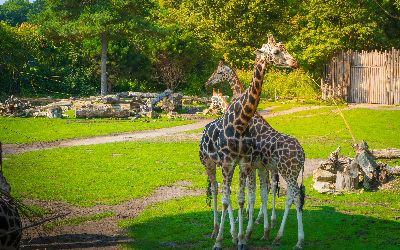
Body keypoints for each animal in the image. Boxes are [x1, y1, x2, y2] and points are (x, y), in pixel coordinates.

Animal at [200, 34, 300, 249]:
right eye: (277, 51)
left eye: (283, 49)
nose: (294, 62)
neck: (240, 122)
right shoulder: (234, 163)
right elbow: (234, 197)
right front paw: (230, 236)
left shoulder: (246, 163)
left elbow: (243, 197)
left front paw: (241, 236)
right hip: (211, 163)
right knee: (218, 190)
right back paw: (219, 231)